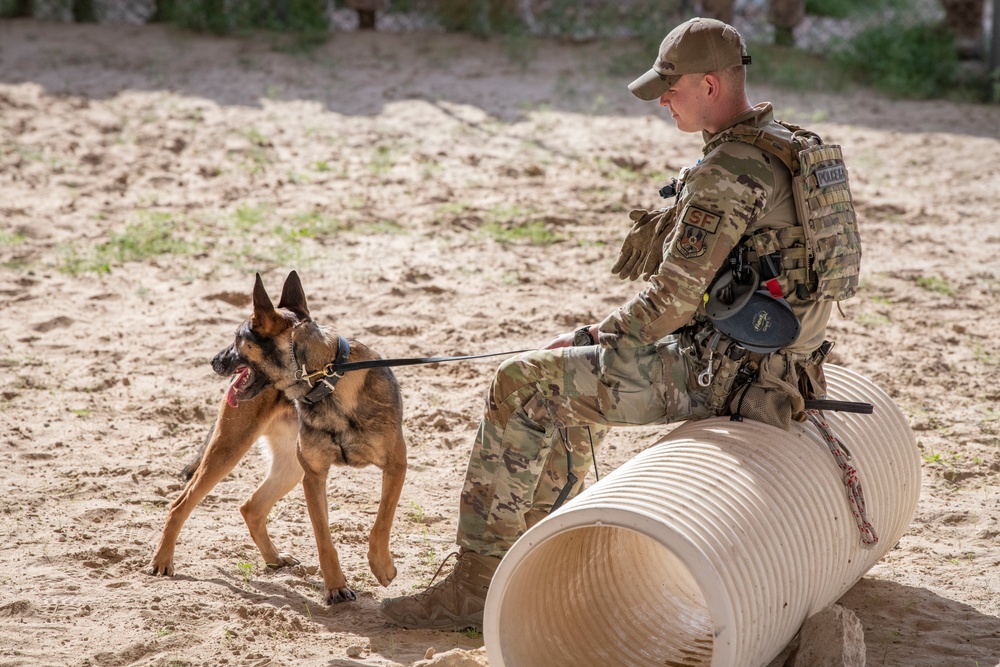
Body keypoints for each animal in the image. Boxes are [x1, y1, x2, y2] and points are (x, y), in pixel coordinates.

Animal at [146, 272, 404, 604]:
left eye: (237, 338)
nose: (213, 360)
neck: (327, 381)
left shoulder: (396, 465)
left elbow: (382, 520)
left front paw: (381, 565)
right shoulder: (314, 477)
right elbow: (324, 539)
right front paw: (335, 586)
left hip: (289, 467)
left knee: (251, 508)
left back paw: (274, 559)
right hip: (230, 451)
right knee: (181, 505)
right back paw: (162, 561)